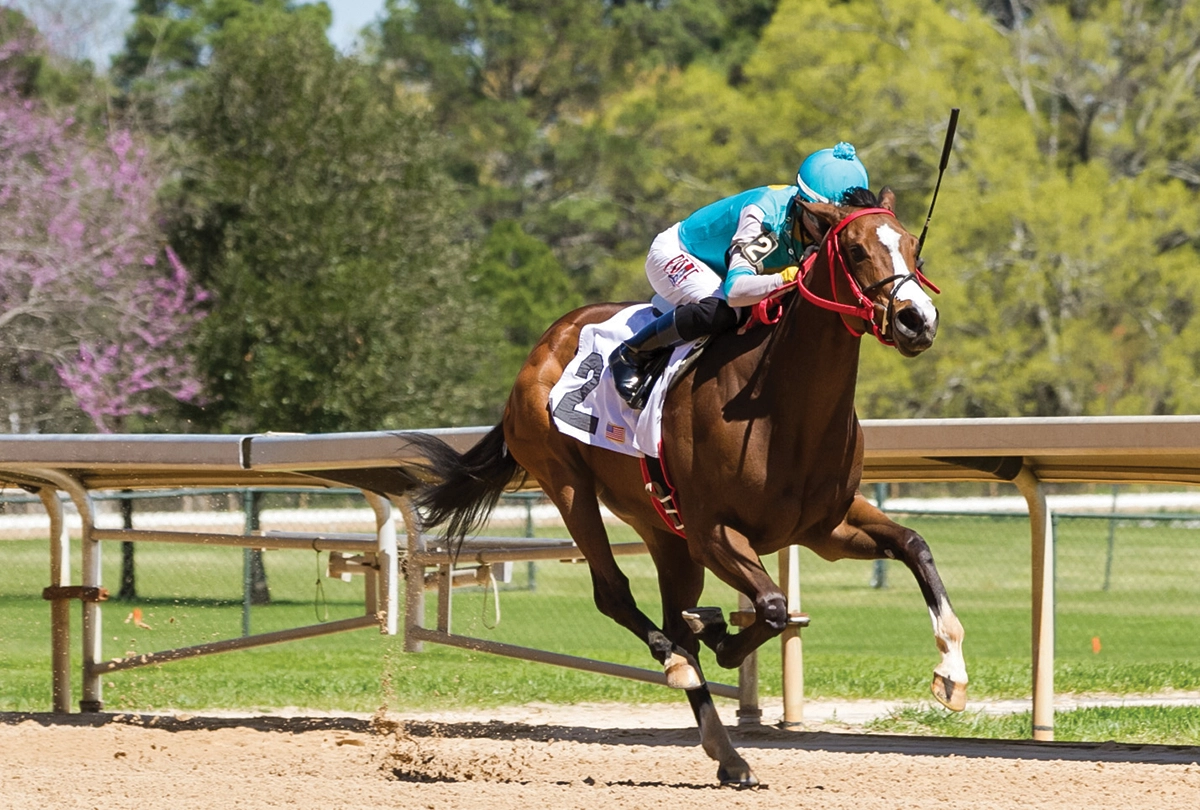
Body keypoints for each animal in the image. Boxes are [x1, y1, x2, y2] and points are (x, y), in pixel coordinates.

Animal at [407, 187, 965, 786]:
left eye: (913, 249)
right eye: (857, 251)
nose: (917, 320)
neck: (780, 407)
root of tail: (544, 344)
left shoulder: (824, 526)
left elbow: (914, 545)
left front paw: (952, 672)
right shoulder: (714, 532)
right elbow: (771, 607)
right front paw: (720, 637)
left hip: (662, 529)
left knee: (675, 613)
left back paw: (728, 751)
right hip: (568, 484)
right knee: (617, 595)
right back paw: (677, 660)